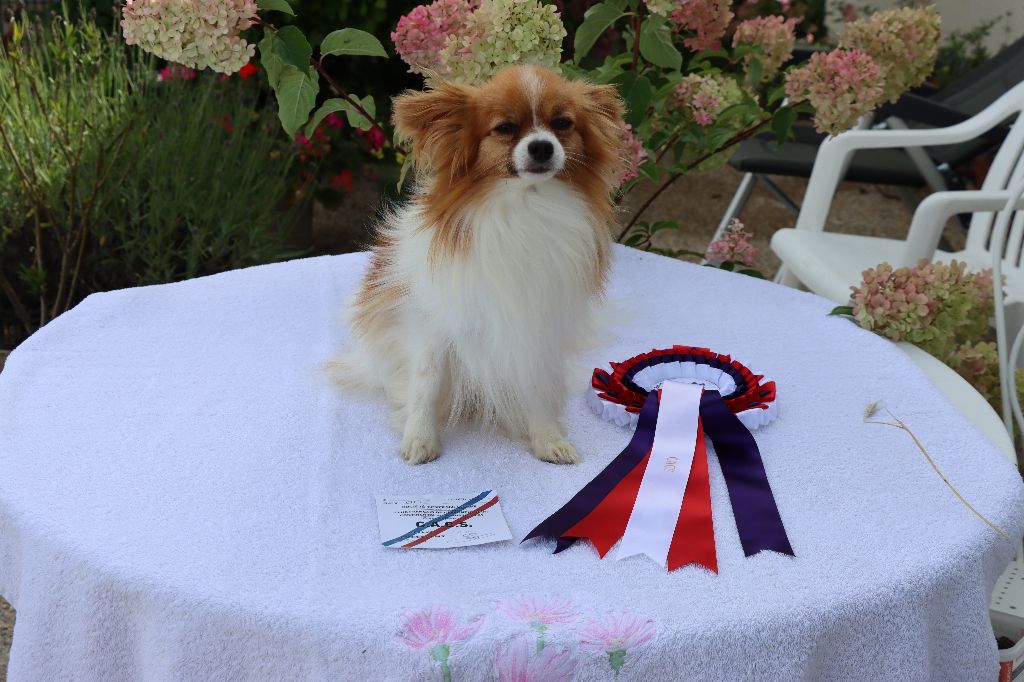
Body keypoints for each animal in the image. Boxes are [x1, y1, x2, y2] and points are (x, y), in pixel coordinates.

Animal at [333, 63, 622, 464]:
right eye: (504, 128)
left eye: (563, 123)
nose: (542, 146)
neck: (525, 207)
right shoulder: (432, 327)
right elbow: (425, 385)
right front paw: (419, 437)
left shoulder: (535, 327)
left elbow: (534, 387)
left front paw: (547, 438)